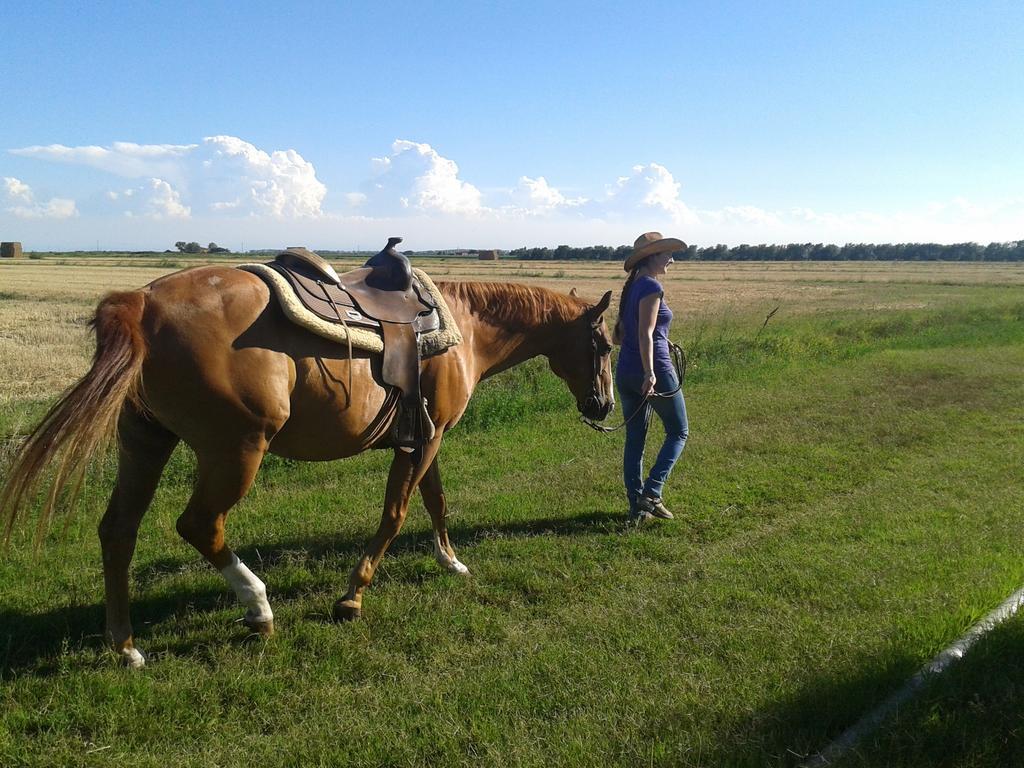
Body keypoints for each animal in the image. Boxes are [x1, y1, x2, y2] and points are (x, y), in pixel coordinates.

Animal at [0, 264, 610, 667]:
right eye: (605, 344)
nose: (604, 405)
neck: (462, 328)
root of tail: (143, 303)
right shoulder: (425, 442)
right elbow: (395, 514)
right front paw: (352, 596)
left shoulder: (424, 440)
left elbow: (435, 501)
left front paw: (450, 561)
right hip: (236, 451)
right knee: (199, 525)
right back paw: (258, 608)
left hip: (146, 441)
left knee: (118, 531)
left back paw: (125, 645)